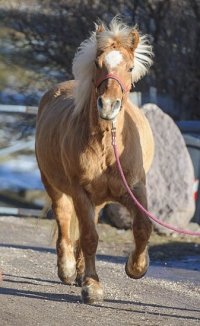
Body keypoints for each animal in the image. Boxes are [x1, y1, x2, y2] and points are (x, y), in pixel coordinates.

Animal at [35, 17, 155, 304]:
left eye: (130, 67)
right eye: (98, 64)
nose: (108, 106)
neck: (107, 145)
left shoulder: (135, 189)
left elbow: (143, 227)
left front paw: (136, 267)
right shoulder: (80, 192)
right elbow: (89, 237)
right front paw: (92, 286)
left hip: (98, 200)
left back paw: (78, 271)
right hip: (54, 187)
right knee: (65, 220)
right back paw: (68, 270)